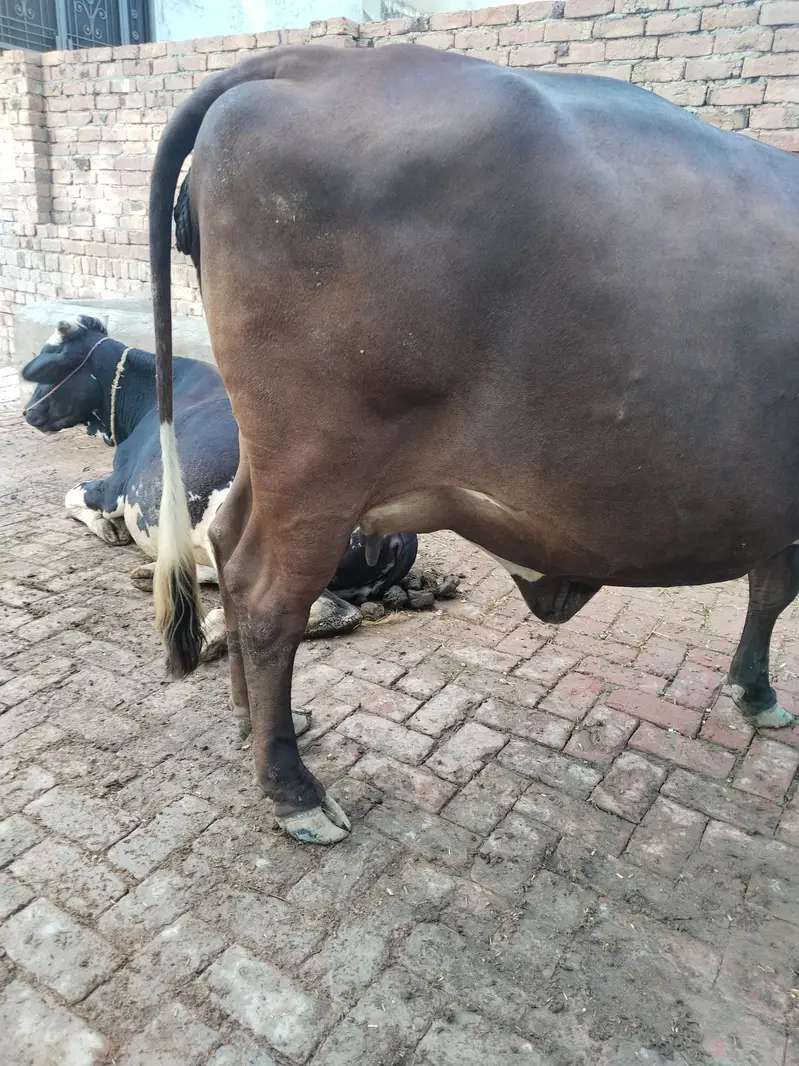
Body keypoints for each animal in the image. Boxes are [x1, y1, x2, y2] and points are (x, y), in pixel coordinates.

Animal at [21, 316, 419, 672]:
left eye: (50, 364)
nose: (28, 412)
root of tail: (400, 531)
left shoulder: (117, 487)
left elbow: (72, 496)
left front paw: (108, 528)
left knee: (326, 610)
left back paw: (205, 634)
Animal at [148, 44, 799, 845]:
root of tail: (319, 60)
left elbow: (770, 584)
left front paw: (752, 688)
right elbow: (776, 585)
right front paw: (758, 690)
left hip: (269, 457)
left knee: (227, 540)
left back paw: (254, 723)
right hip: (318, 463)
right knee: (267, 597)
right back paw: (294, 788)